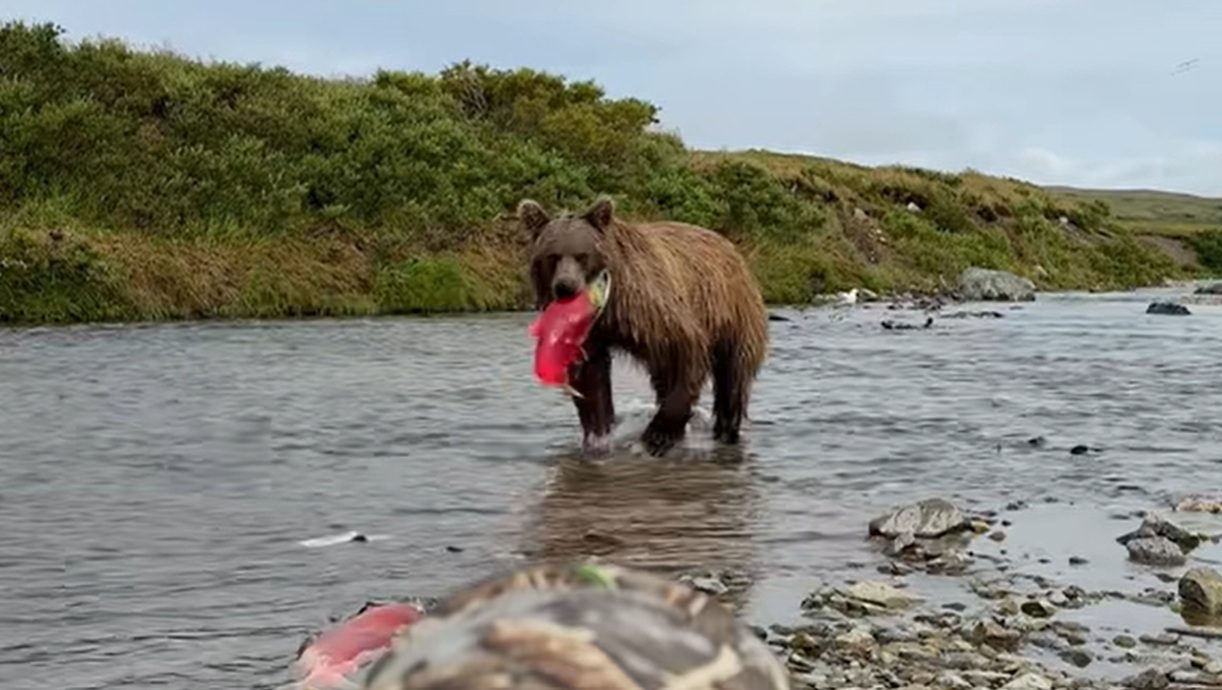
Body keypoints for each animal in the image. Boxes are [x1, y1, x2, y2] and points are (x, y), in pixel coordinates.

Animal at [519, 196, 769, 457]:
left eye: (581, 255)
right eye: (552, 256)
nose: (565, 286)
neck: (610, 305)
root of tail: (729, 246)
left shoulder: (649, 308)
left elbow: (686, 349)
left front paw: (655, 437)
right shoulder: (592, 332)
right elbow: (591, 376)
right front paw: (598, 437)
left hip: (733, 311)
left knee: (733, 377)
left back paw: (726, 430)